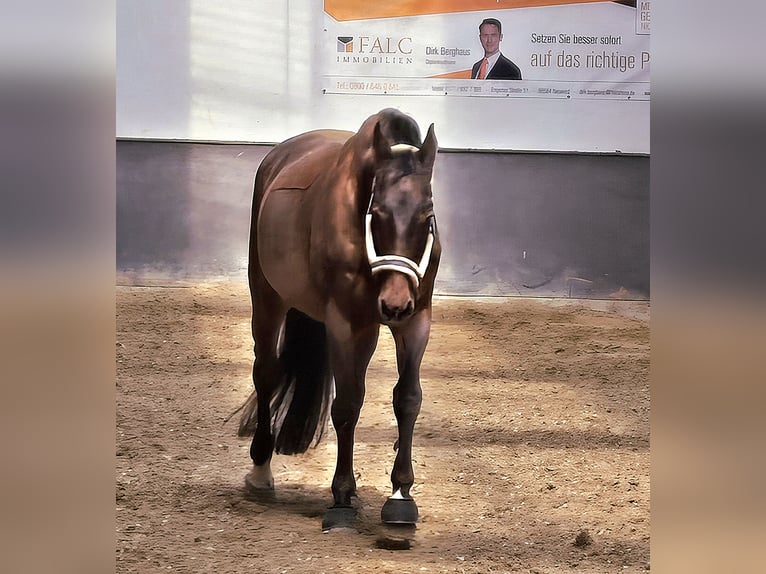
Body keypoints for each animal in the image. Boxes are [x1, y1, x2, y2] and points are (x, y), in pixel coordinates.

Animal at [237, 108, 440, 531]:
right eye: (377, 213)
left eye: (427, 215)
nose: (394, 304)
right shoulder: (348, 323)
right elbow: (347, 404)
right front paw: (342, 500)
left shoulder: (416, 320)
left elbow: (408, 398)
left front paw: (401, 495)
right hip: (267, 295)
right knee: (266, 372)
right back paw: (261, 470)